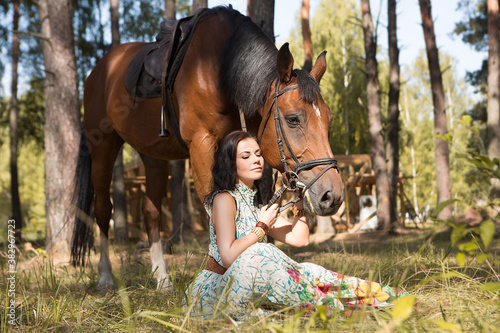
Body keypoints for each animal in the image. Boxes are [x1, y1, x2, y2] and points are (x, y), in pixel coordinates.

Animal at [71, 6, 344, 290]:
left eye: (329, 120)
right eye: (293, 119)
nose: (332, 195)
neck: (221, 69)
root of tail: (100, 69)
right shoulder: (201, 145)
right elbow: (211, 205)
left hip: (152, 155)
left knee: (151, 213)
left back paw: (162, 278)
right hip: (102, 148)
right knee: (103, 210)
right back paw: (105, 276)